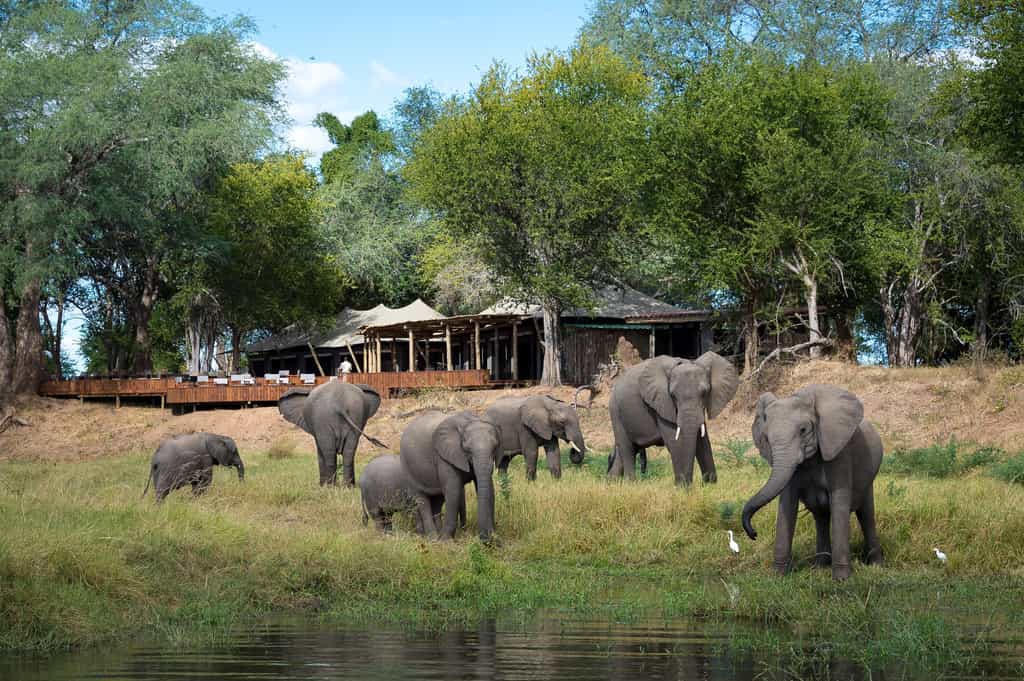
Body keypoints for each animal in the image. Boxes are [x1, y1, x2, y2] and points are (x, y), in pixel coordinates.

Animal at [399, 410, 500, 542]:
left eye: (495, 447)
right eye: (467, 449)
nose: (490, 539)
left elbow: (489, 491)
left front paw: (493, 534)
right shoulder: (444, 456)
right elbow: (453, 490)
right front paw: (446, 541)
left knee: (437, 500)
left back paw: (436, 534)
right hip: (408, 468)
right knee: (421, 500)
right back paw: (433, 538)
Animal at [607, 352, 739, 486]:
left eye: (705, 393)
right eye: (673, 395)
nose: (689, 483)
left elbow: (703, 440)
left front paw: (709, 485)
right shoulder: (662, 403)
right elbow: (674, 440)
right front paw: (682, 487)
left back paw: (613, 483)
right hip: (615, 412)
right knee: (627, 448)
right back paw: (630, 483)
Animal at [741, 384, 884, 581]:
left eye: (803, 430)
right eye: (767, 438)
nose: (753, 533)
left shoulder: (839, 451)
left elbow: (839, 503)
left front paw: (841, 580)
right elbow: (787, 504)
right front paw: (777, 576)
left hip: (869, 475)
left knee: (866, 514)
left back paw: (876, 566)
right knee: (821, 517)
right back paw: (820, 567)